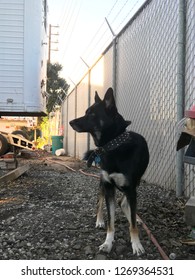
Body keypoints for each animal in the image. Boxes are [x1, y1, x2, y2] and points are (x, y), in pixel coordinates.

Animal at [69, 87, 149, 256]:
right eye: (86, 112)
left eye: (92, 114)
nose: (70, 122)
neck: (114, 146)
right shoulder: (108, 187)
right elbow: (110, 221)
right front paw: (107, 243)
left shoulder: (130, 188)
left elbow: (132, 223)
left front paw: (136, 244)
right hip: (102, 183)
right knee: (99, 202)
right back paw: (99, 220)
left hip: (136, 182)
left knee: (124, 203)